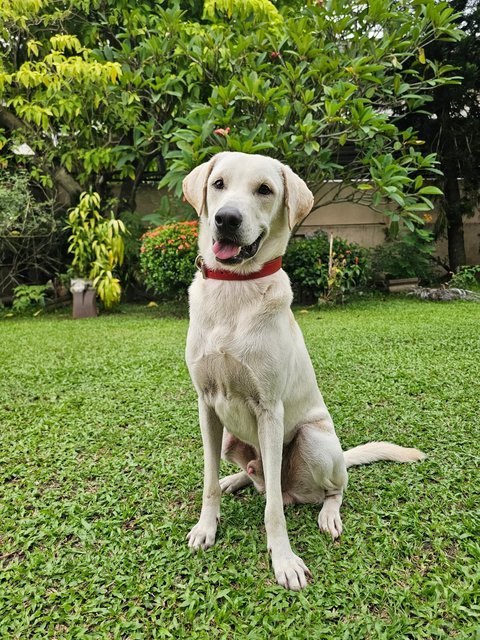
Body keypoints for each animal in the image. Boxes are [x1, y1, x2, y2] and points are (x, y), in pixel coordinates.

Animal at [182, 151, 426, 592]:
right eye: (218, 184)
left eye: (264, 190)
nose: (225, 219)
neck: (235, 289)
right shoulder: (206, 405)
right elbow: (208, 481)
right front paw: (207, 526)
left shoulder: (269, 409)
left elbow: (273, 510)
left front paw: (283, 560)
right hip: (230, 439)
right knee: (256, 477)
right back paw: (235, 481)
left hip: (314, 441)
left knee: (326, 489)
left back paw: (328, 514)